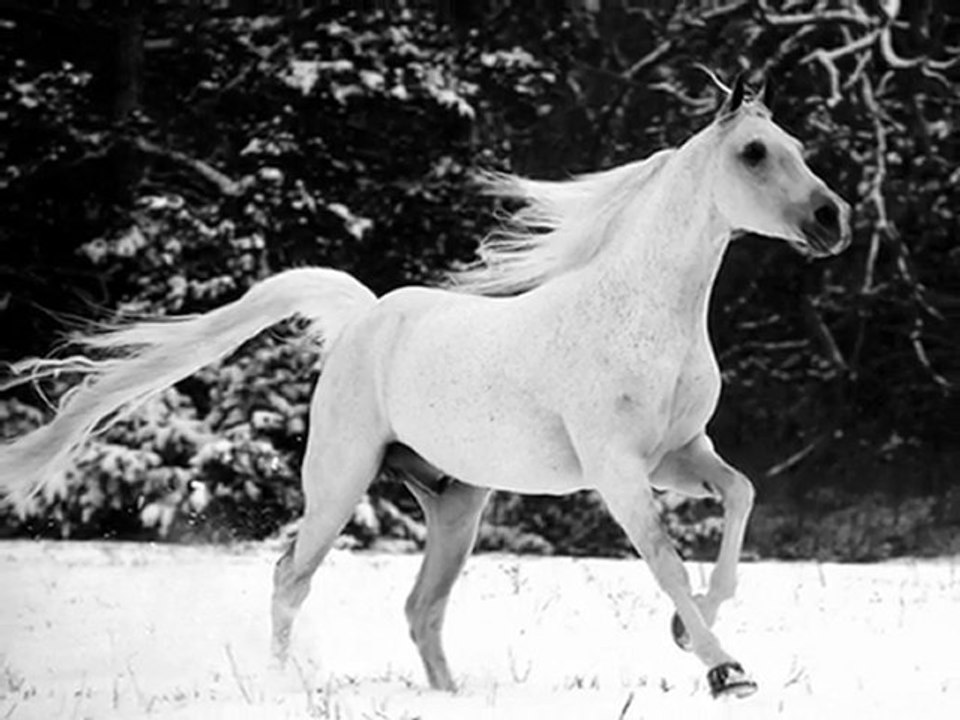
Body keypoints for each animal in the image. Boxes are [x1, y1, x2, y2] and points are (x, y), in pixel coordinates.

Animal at [0, 73, 850, 698]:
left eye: (797, 147)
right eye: (753, 152)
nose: (832, 218)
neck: (642, 315)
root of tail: (364, 317)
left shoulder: (679, 455)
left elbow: (740, 497)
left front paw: (688, 633)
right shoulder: (616, 469)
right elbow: (666, 561)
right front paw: (724, 670)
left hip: (455, 503)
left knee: (420, 608)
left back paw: (449, 696)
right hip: (340, 480)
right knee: (290, 577)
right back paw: (283, 687)